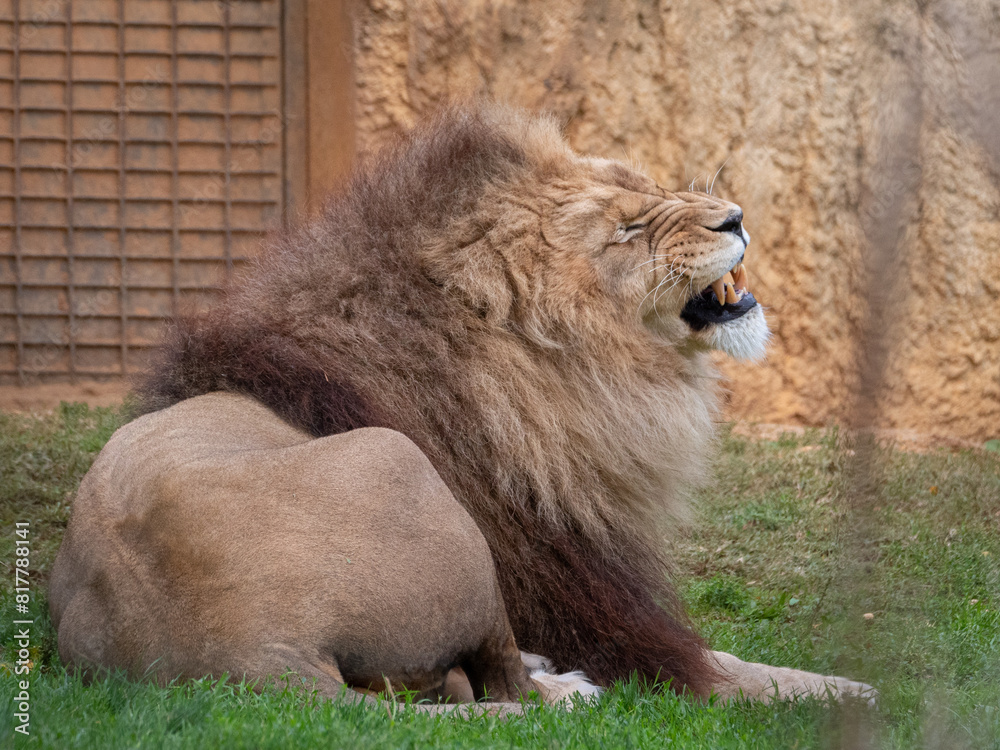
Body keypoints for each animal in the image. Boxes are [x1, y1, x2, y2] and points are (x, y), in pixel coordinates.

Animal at [62, 102, 870, 703]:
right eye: (627, 229)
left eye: (653, 188)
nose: (733, 217)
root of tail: (259, 652)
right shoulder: (587, 602)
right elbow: (722, 669)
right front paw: (847, 690)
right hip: (409, 473)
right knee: (506, 683)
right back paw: (565, 687)